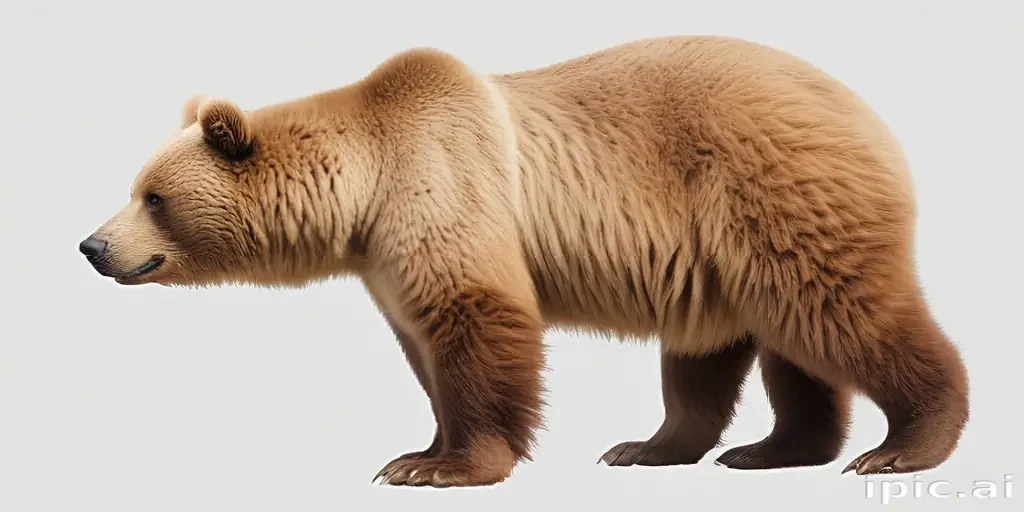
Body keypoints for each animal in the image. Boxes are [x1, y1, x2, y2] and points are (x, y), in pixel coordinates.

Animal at [79, 34, 970, 488]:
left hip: (770, 188)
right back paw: (704, 448)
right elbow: (427, 354)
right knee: (738, 347)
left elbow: (479, 322)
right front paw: (420, 450)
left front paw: (442, 469)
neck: (364, 188)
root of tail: (868, 111)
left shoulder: (445, 186)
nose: (92, 246)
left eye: (153, 196)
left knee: (839, 311)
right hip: (722, 250)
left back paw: (903, 445)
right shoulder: (387, 258)